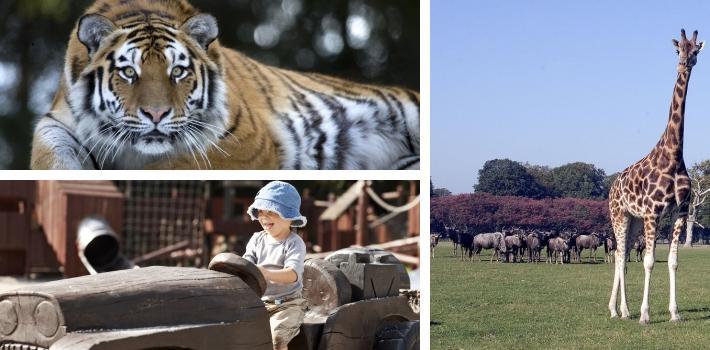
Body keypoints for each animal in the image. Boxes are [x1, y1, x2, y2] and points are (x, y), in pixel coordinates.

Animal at [30, 0, 420, 170]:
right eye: (128, 72)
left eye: (178, 71)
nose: (156, 114)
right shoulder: (58, 122)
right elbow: (54, 160)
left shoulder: (243, 142)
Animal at [608, 29, 704, 326]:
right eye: (677, 50)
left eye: (695, 50)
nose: (684, 63)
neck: (673, 155)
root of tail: (611, 186)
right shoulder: (653, 212)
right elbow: (649, 261)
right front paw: (645, 314)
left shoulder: (679, 212)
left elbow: (672, 262)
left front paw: (675, 313)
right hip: (620, 216)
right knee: (619, 256)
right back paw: (621, 311)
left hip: (634, 220)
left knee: (623, 254)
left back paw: (619, 310)